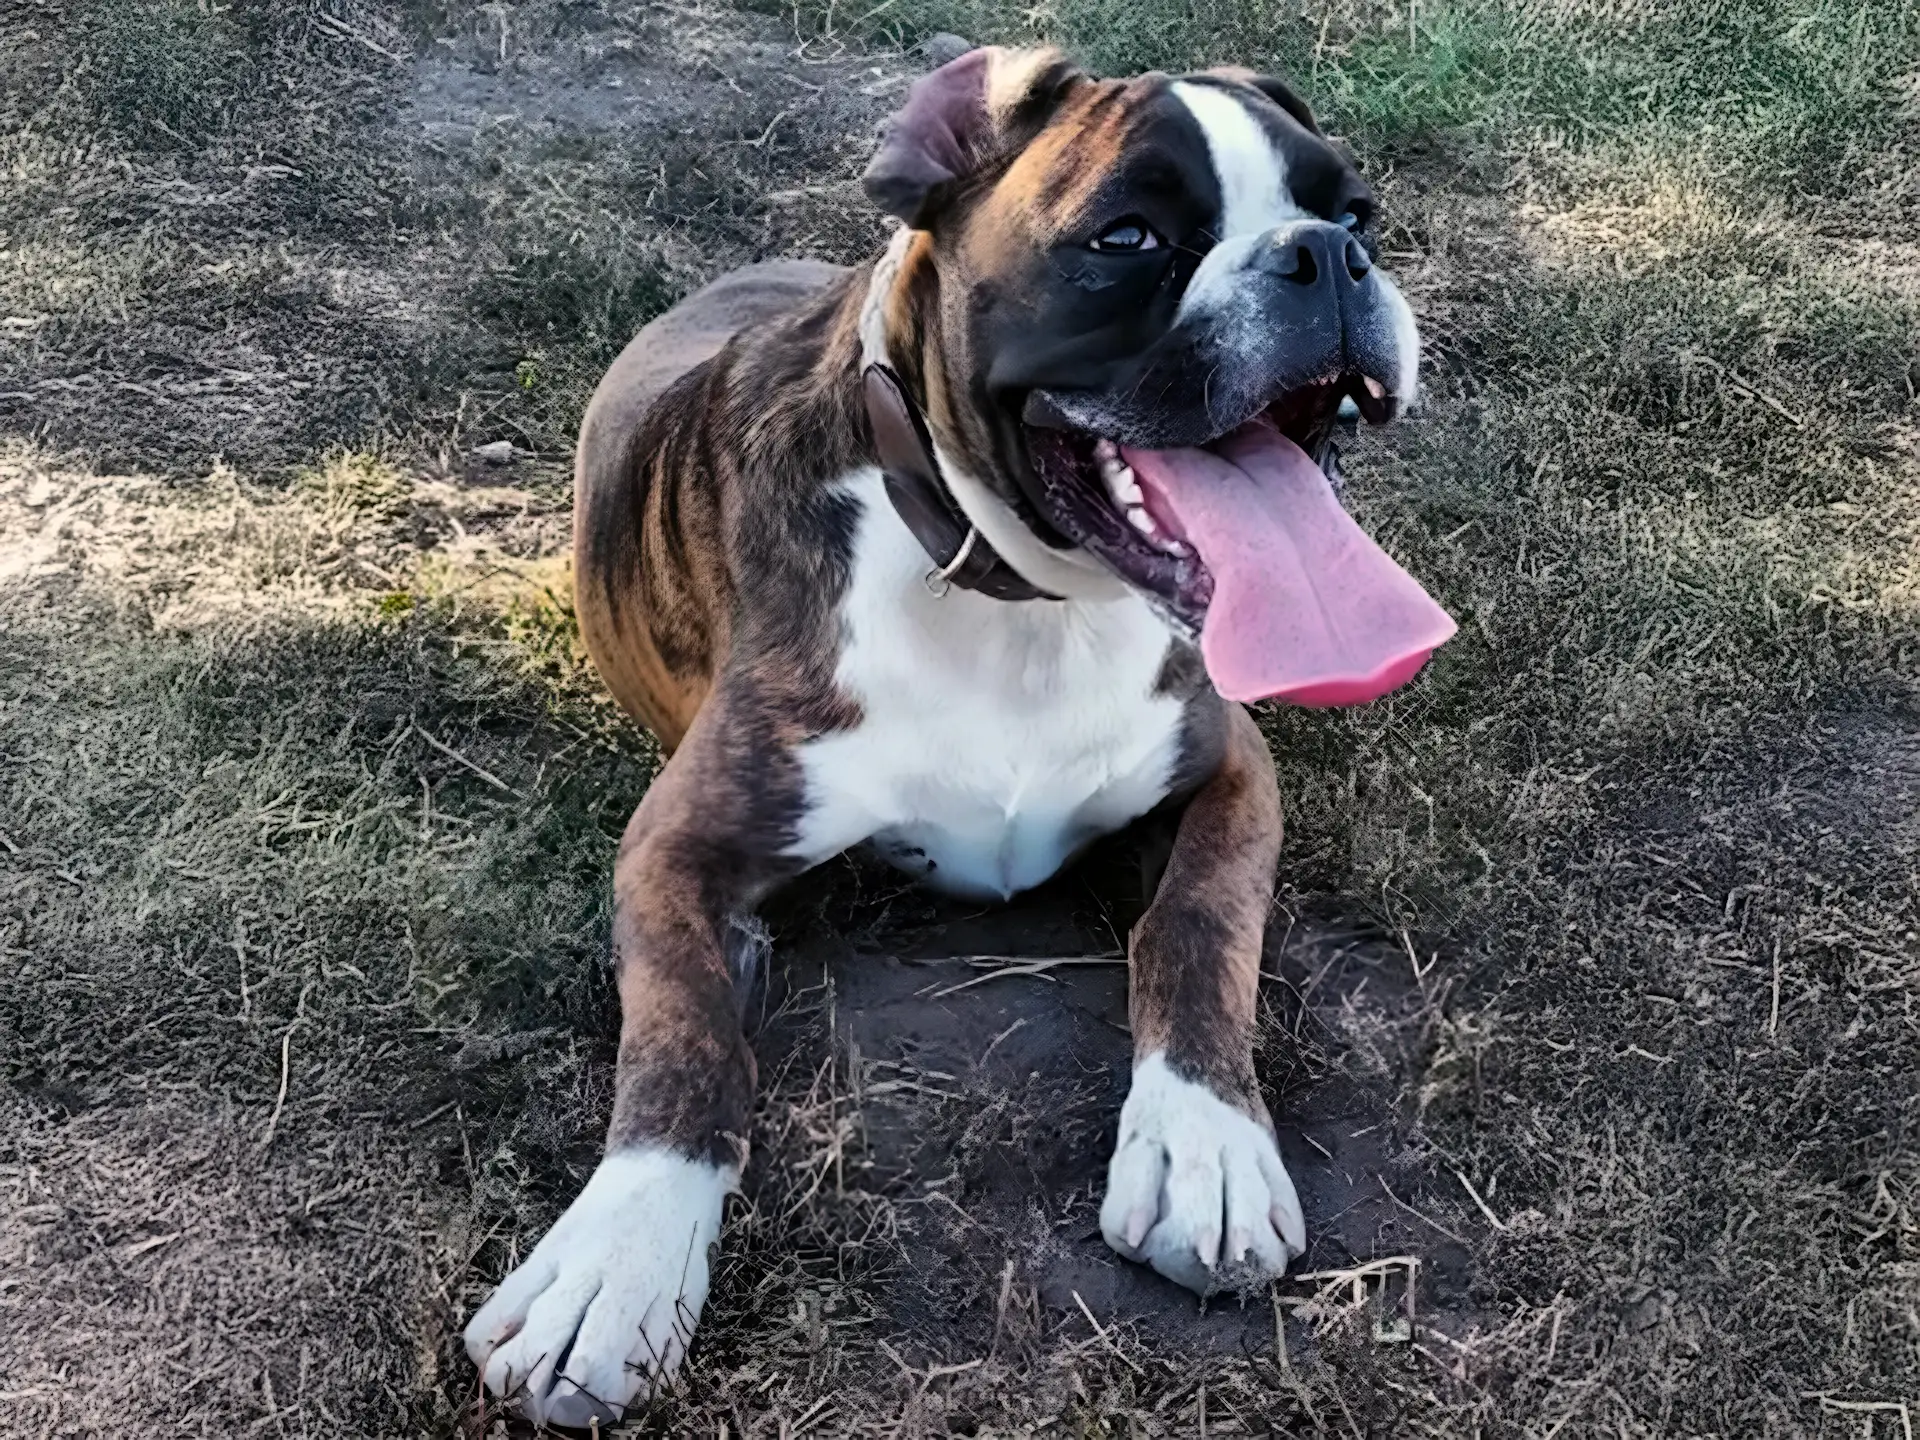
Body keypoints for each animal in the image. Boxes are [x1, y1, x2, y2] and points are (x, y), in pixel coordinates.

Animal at [468, 48, 1451, 1436]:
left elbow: (1196, 927)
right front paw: (614, 1262)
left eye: (1356, 210)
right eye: (1126, 237)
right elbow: (683, 1043)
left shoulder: (1229, 775)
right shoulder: (673, 853)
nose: (1326, 256)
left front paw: (1202, 1143)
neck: (1022, 603)